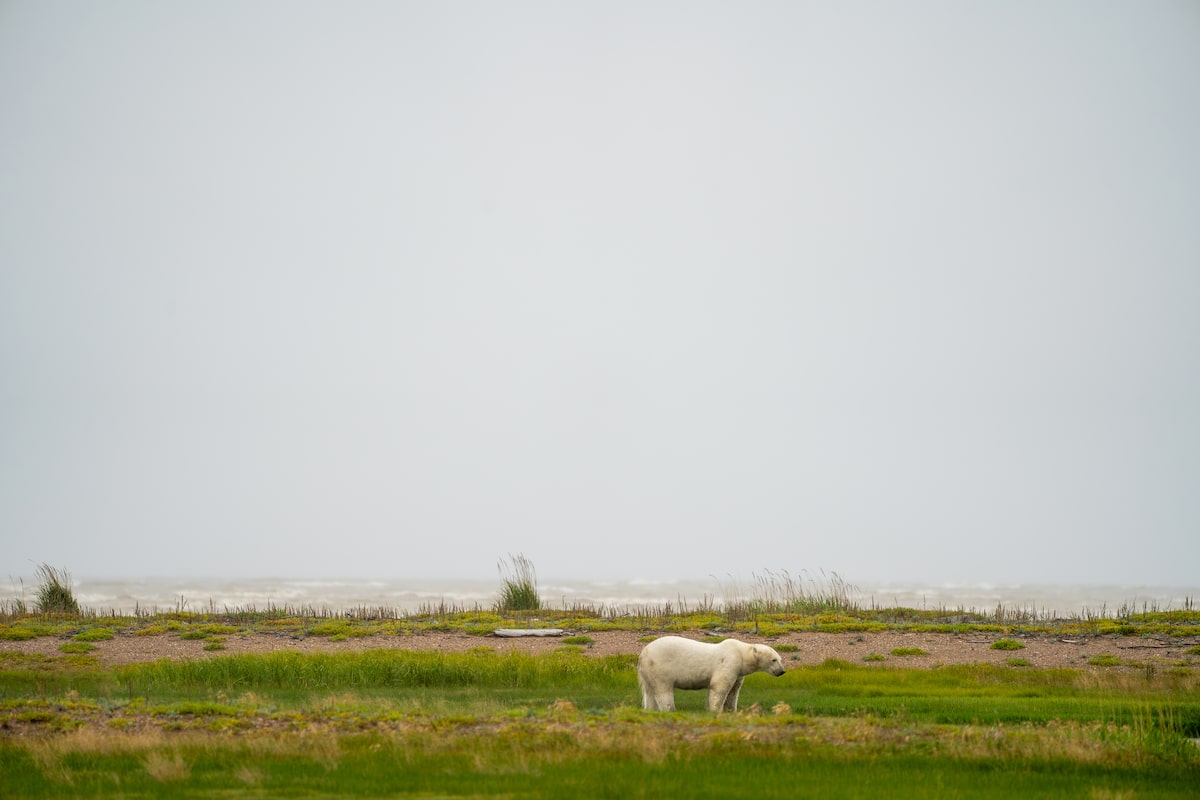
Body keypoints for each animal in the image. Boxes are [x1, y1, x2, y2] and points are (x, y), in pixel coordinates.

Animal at [637, 635, 786, 712]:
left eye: (780, 659)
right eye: (773, 660)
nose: (782, 671)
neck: (740, 654)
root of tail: (643, 653)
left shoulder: (738, 672)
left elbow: (734, 690)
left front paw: (731, 710)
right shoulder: (729, 662)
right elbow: (720, 686)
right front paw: (716, 710)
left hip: (647, 671)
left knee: (649, 691)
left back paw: (650, 709)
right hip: (660, 666)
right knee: (663, 688)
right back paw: (670, 709)